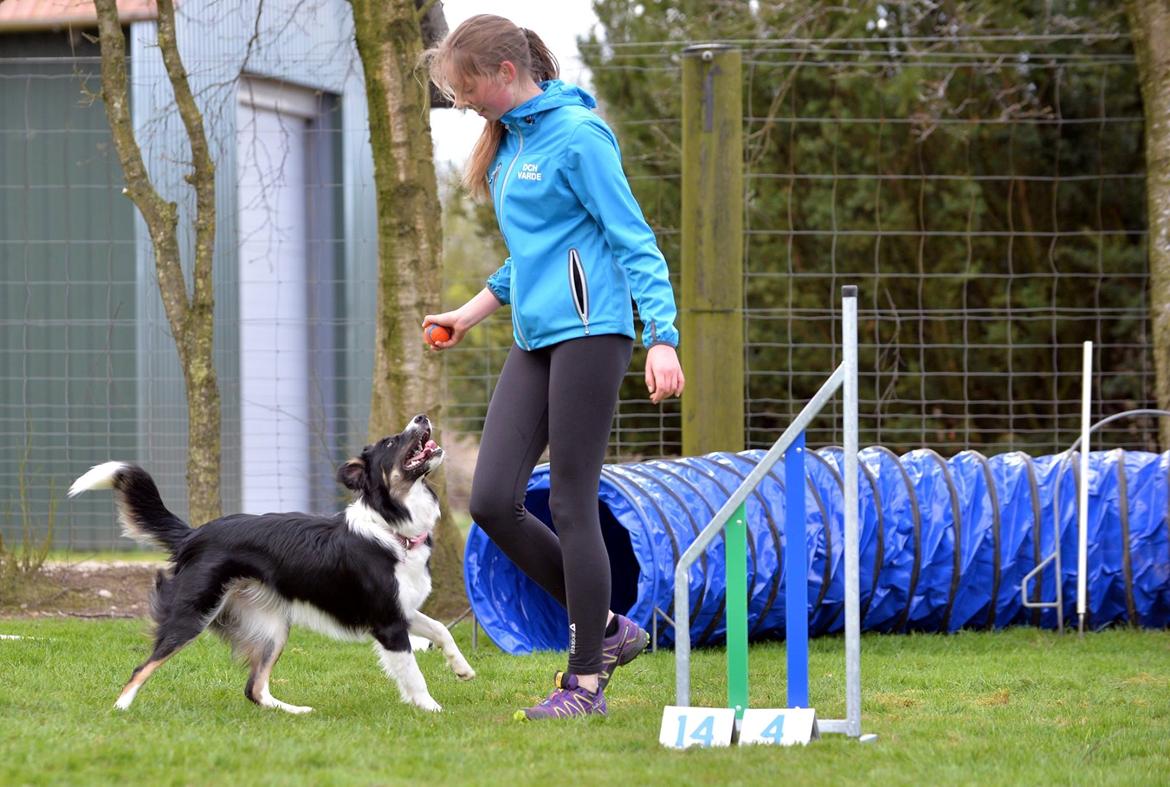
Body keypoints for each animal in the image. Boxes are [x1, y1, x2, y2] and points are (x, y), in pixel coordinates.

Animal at [66, 413, 470, 715]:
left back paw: (293, 711)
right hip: (192, 615)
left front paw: (462, 668)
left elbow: (441, 630)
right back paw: (121, 708)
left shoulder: (402, 610)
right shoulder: (387, 622)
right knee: (141, 667)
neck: (392, 526)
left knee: (254, 688)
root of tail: (194, 534)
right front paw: (432, 709)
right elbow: (413, 673)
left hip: (272, 627)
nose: (421, 416)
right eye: (390, 442)